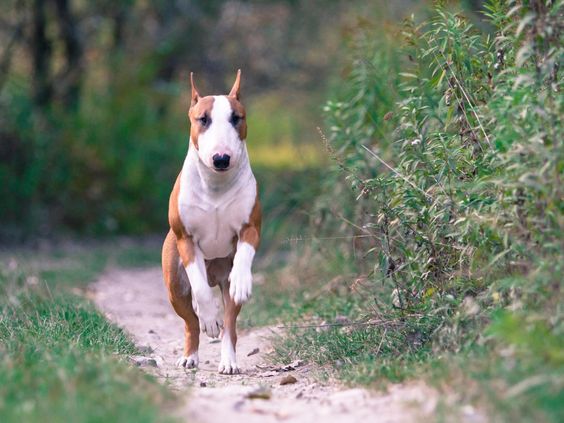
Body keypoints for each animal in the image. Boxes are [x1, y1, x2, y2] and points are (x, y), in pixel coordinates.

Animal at [162, 71, 262, 376]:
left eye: (236, 117)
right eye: (202, 119)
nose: (221, 158)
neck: (216, 185)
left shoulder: (251, 227)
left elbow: (245, 253)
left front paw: (242, 281)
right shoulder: (186, 238)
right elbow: (200, 289)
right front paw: (209, 317)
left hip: (225, 287)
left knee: (230, 325)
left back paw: (228, 361)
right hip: (174, 286)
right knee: (190, 322)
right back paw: (191, 354)